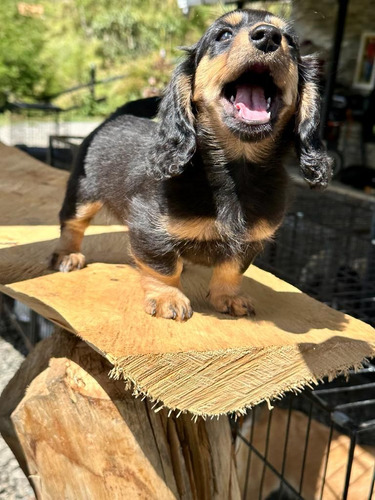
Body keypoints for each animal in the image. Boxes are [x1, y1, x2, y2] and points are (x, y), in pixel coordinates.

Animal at [50, 9, 332, 322]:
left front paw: (228, 297)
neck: (236, 169)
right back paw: (67, 255)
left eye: (291, 42)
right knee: (72, 225)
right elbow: (163, 267)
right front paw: (167, 298)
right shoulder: (150, 229)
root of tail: (113, 118)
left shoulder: (249, 241)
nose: (269, 36)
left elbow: (231, 269)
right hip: (83, 195)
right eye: (223, 34)